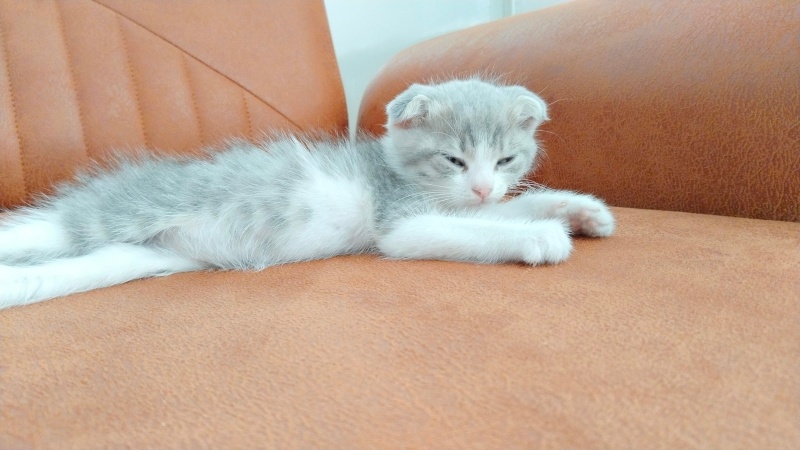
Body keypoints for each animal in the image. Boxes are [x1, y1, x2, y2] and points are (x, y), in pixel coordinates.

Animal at [0, 79, 612, 308]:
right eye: (454, 159)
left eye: (506, 159)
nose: (482, 186)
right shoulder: (403, 222)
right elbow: (474, 229)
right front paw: (541, 237)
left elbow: (510, 206)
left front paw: (581, 211)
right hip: (109, 216)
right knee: (40, 229)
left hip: (134, 256)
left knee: (53, 270)